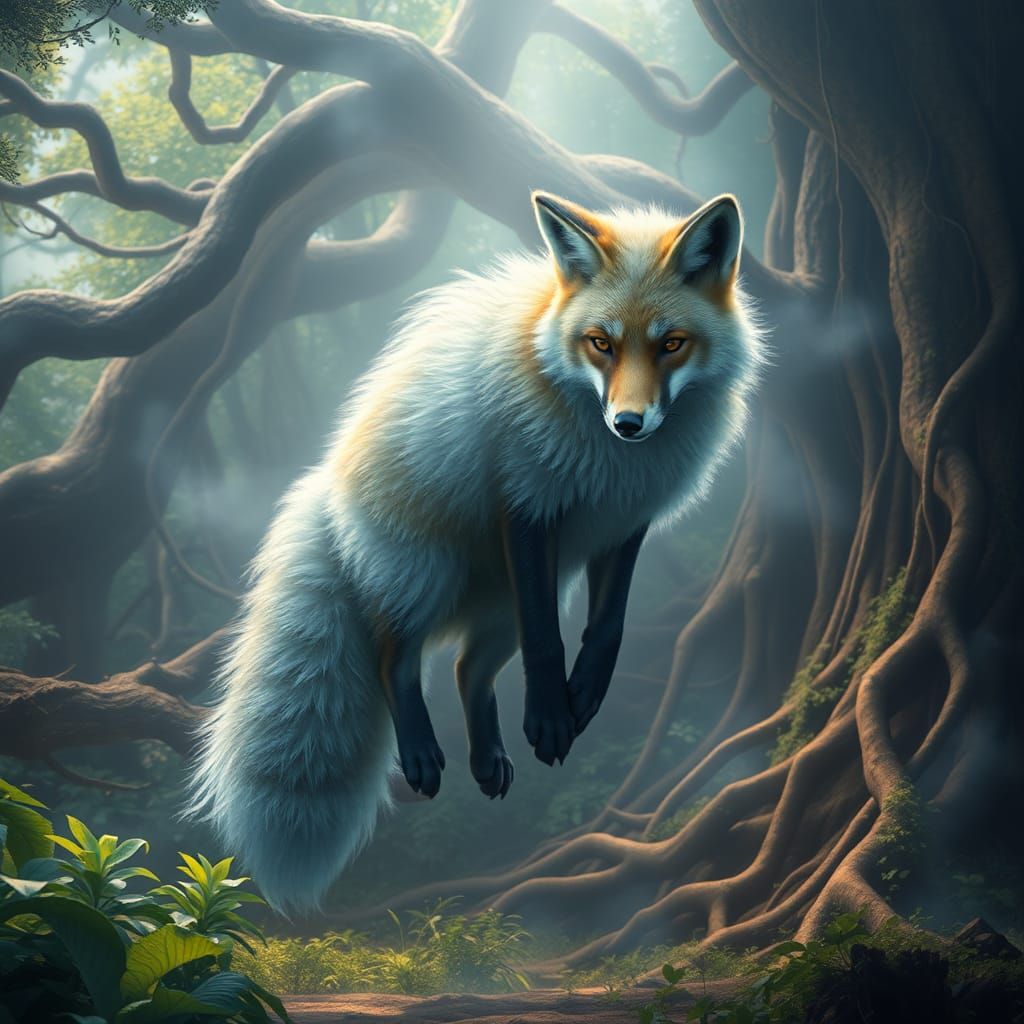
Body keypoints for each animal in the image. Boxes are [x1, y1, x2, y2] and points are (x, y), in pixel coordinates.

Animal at [188, 190, 766, 913]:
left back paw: (487, 758)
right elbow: (547, 641)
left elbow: (605, 628)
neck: (609, 461)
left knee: (468, 668)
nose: (628, 424)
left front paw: (581, 699)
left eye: (672, 344)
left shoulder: (623, 523)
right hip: (426, 576)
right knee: (393, 657)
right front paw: (549, 715)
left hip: (505, 603)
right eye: (601, 343)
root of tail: (328, 484)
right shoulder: (526, 505)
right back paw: (420, 754)